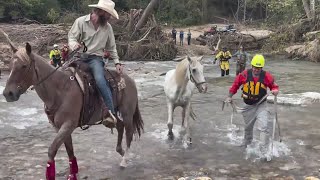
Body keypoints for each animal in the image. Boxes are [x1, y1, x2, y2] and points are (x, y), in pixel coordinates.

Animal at [0, 29, 144, 180]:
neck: (60, 90)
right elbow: (69, 151)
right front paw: (73, 174)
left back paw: (124, 160)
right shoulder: (60, 127)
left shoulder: (68, 125)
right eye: (10, 66)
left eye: (24, 66)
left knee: (128, 133)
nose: (8, 93)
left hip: (127, 113)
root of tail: (129, 80)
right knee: (120, 126)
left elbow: (52, 150)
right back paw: (121, 152)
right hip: (115, 113)